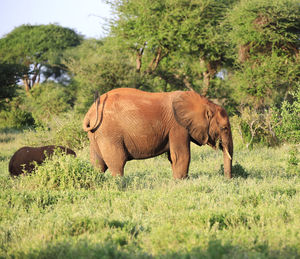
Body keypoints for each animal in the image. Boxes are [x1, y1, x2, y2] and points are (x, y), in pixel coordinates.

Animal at [83, 88, 233, 180]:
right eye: (224, 128)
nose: (228, 180)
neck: (204, 103)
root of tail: (90, 114)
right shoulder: (178, 127)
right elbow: (181, 156)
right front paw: (181, 182)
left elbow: (173, 158)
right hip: (110, 134)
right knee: (117, 163)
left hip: (96, 135)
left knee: (98, 164)